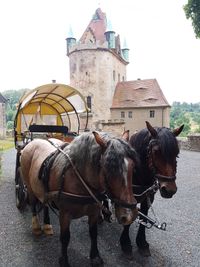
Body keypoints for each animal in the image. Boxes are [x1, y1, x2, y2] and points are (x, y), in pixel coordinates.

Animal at [20, 132, 139, 267]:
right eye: (109, 168)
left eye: (133, 167)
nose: (129, 215)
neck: (78, 179)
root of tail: (34, 141)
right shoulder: (65, 214)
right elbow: (65, 237)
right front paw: (64, 260)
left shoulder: (94, 212)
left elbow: (93, 233)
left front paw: (95, 257)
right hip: (29, 186)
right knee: (33, 204)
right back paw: (36, 226)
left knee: (44, 203)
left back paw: (47, 225)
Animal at [119, 122, 184, 260]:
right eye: (156, 151)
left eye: (177, 152)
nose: (169, 190)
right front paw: (126, 243)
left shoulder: (148, 197)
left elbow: (144, 216)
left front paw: (142, 242)